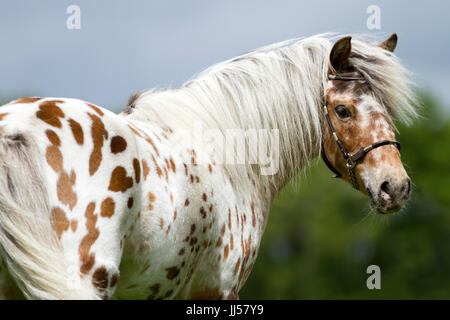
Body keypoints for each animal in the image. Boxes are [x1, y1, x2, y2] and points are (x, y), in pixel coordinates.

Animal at [0, 33, 418, 298]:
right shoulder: (217, 289)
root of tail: (17, 130)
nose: (395, 187)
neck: (230, 158)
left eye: (388, 109)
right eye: (343, 110)